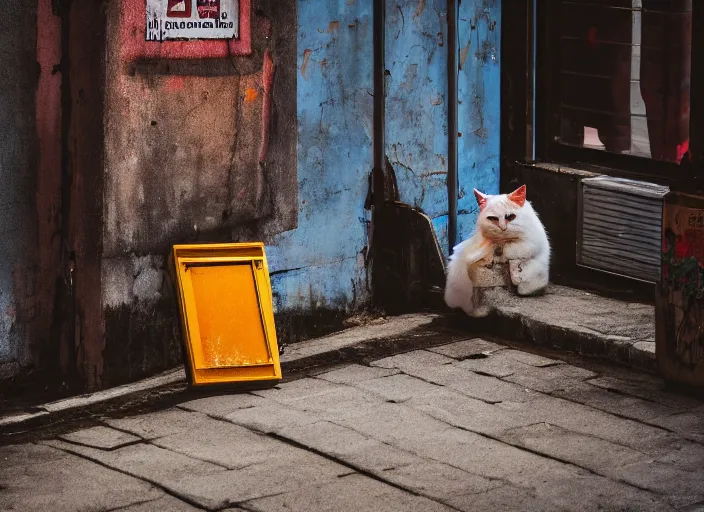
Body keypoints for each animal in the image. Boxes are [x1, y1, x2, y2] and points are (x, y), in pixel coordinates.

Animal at [446, 184, 552, 316]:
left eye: (510, 217)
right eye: (493, 218)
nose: (502, 227)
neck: (502, 241)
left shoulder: (531, 246)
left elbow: (513, 257)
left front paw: (515, 274)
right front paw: (491, 259)